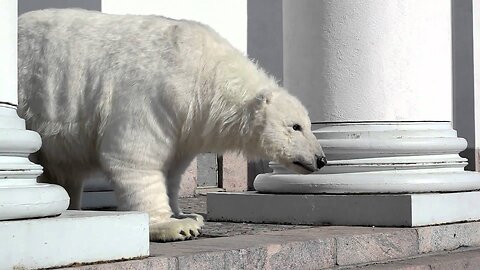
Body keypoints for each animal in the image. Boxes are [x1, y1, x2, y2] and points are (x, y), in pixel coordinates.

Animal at [17, 8, 326, 243]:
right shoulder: (153, 94)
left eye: (308, 125)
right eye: (296, 126)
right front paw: (173, 226)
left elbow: (173, 168)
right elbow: (134, 156)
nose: (320, 159)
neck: (204, 71)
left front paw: (186, 215)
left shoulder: (186, 123)